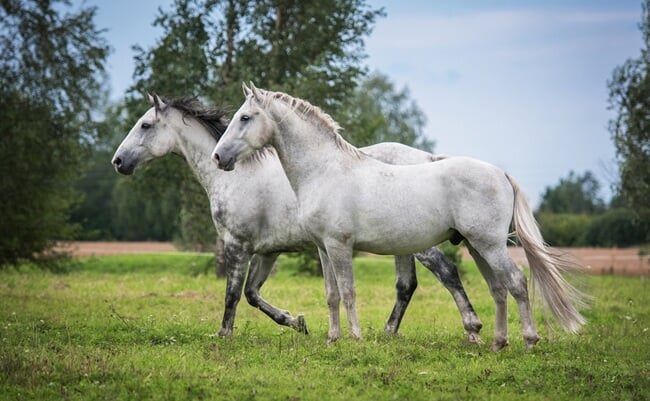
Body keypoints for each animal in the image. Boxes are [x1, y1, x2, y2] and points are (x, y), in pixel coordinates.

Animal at [112, 94, 484, 342]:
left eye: (145, 125)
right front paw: (297, 322)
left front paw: (224, 334)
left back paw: (472, 329)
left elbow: (233, 294)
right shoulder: (267, 252)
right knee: (406, 286)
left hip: (420, 245)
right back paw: (388, 333)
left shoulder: (238, 246)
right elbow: (253, 294)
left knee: (447, 273)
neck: (237, 176)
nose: (118, 161)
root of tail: (427, 158)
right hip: (402, 245)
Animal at [212, 82, 589, 351]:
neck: (325, 170)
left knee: (516, 283)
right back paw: (498, 343)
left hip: (490, 245)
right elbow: (332, 294)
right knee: (498, 288)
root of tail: (500, 173)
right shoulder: (323, 248)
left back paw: (528, 340)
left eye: (245, 117)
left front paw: (355, 338)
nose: (218, 157)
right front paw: (333, 338)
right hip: (478, 246)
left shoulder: (340, 245)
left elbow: (348, 291)